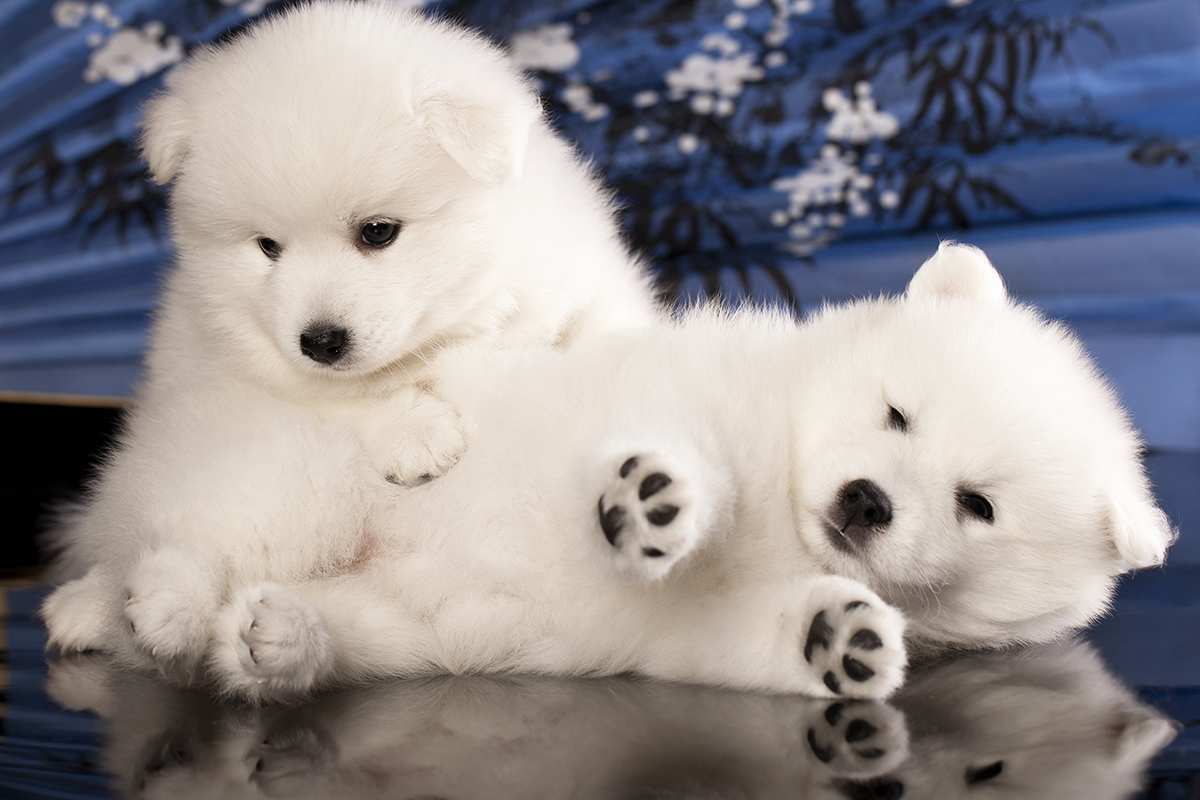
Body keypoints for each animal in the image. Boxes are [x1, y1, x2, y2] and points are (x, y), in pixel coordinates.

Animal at [42, 3, 657, 671]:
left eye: (378, 231)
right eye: (268, 247)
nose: (320, 341)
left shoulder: (580, 291)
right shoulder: (221, 354)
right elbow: (334, 395)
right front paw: (415, 434)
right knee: (183, 539)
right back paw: (141, 609)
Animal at [44, 242, 1171, 700]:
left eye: (976, 504)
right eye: (897, 413)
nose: (867, 499)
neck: (787, 513)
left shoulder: (693, 628)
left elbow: (749, 635)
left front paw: (838, 637)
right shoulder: (693, 394)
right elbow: (691, 454)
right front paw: (654, 505)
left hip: (394, 624)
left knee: (305, 625)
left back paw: (275, 637)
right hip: (312, 478)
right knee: (195, 537)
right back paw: (158, 599)